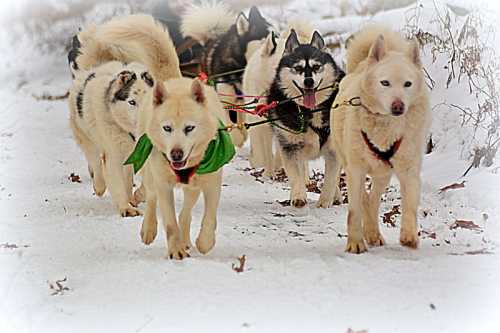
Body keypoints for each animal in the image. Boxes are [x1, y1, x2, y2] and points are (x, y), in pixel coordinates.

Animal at [330, 26, 432, 253]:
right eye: (385, 83)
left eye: (407, 84)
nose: (398, 106)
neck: (385, 126)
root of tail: (360, 67)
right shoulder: (356, 170)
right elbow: (354, 211)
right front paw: (355, 242)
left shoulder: (409, 170)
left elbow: (410, 205)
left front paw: (409, 235)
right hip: (350, 163)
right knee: (364, 199)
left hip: (383, 173)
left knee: (372, 199)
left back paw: (373, 233)